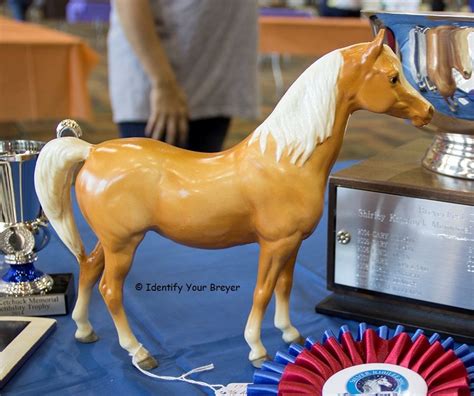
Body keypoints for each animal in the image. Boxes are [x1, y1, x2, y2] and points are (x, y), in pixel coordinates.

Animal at [34, 30, 434, 368]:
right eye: (393, 77)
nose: (428, 112)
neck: (286, 160)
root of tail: (92, 152)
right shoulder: (274, 244)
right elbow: (262, 291)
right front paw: (257, 349)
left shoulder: (293, 244)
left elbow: (285, 287)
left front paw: (290, 333)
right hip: (123, 244)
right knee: (110, 290)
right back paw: (139, 353)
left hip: (112, 241)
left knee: (88, 269)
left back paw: (85, 331)